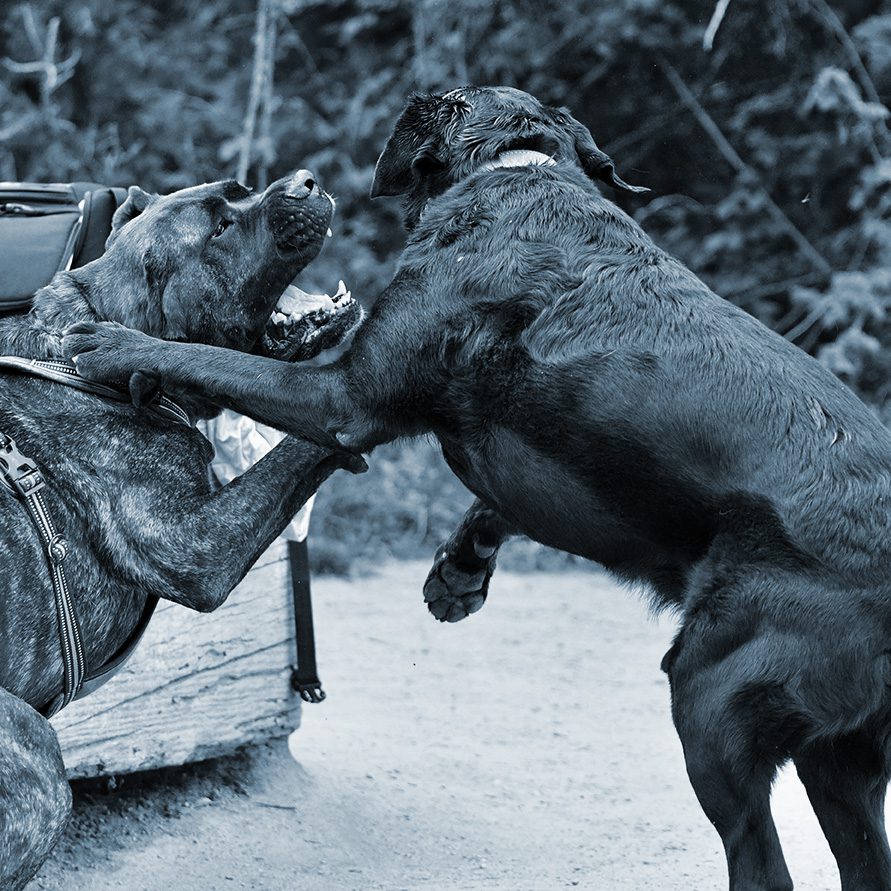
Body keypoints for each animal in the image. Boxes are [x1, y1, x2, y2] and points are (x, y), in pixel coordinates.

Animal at [1, 171, 366, 888]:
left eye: (242, 189)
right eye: (219, 228)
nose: (305, 181)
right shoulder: (198, 544)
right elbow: (306, 440)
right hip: (34, 755)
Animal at [61, 89, 891, 891]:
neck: (512, 167)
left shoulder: (344, 397)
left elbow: (209, 358)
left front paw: (115, 342)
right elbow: (493, 507)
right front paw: (458, 574)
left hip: (710, 699)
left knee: (762, 864)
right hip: (837, 765)